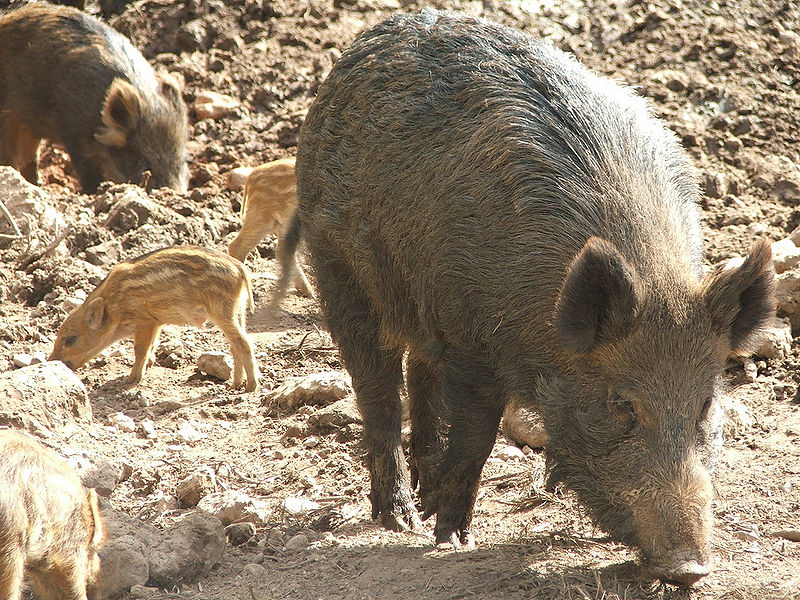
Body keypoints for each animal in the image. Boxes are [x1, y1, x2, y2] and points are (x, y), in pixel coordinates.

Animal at [0, 3, 189, 193]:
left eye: (182, 160)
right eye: (143, 162)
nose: (176, 192)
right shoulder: (76, 135)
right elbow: (88, 174)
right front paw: (93, 192)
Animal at [50, 246, 260, 392]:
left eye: (71, 339)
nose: (51, 360)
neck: (113, 306)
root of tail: (240, 268)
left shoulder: (144, 319)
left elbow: (140, 350)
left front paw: (130, 380)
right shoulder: (157, 321)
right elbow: (152, 346)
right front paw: (148, 366)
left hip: (221, 311)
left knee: (244, 342)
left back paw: (251, 387)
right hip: (237, 310)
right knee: (235, 345)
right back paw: (235, 385)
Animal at [281, 10, 776, 586]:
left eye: (706, 404)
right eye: (622, 404)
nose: (690, 567)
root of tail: (366, 41)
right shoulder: (473, 342)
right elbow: (476, 437)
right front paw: (453, 539)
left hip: (422, 311)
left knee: (419, 374)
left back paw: (422, 497)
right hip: (338, 265)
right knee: (377, 389)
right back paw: (400, 518)